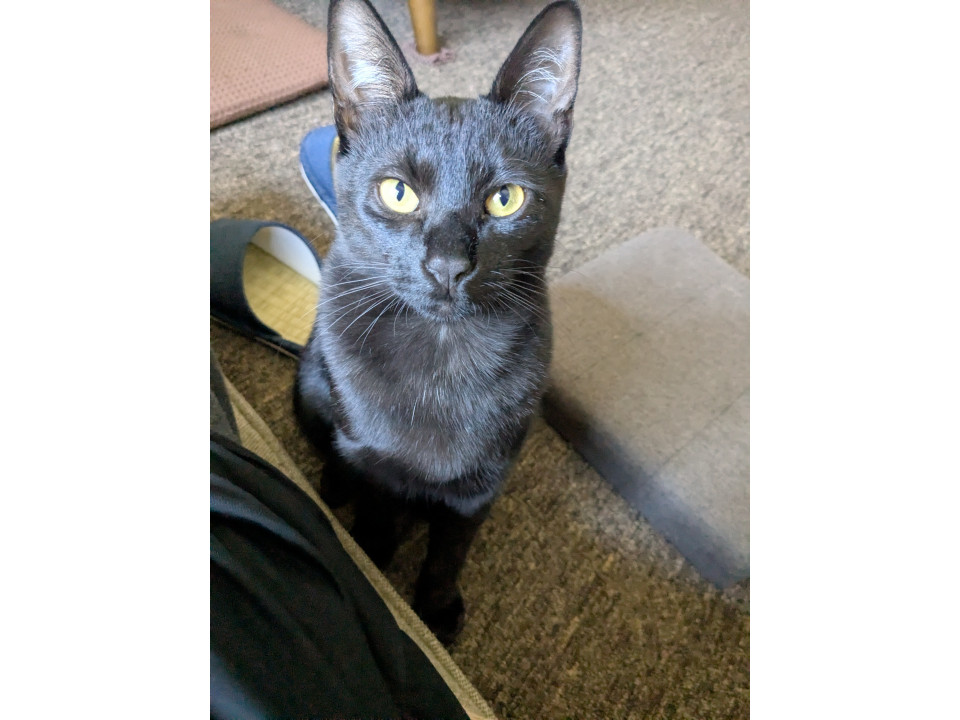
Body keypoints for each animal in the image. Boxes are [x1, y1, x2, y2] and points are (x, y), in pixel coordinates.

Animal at [294, 0, 582, 645]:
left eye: (505, 199)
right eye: (398, 192)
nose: (448, 265)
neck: (442, 361)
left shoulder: (482, 484)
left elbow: (449, 553)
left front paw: (436, 607)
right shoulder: (373, 461)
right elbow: (378, 517)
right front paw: (376, 563)